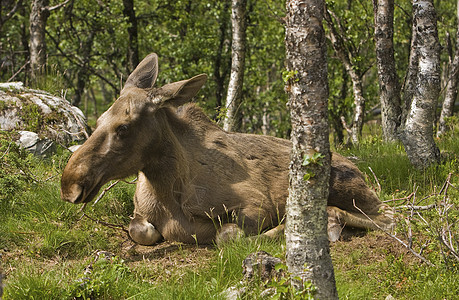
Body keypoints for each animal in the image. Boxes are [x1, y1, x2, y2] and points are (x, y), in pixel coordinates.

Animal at [59, 53, 394, 246]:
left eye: (124, 128)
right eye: (98, 120)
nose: (70, 184)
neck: (166, 189)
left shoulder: (257, 207)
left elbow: (227, 235)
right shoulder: (140, 214)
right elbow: (141, 231)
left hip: (349, 189)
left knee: (386, 216)